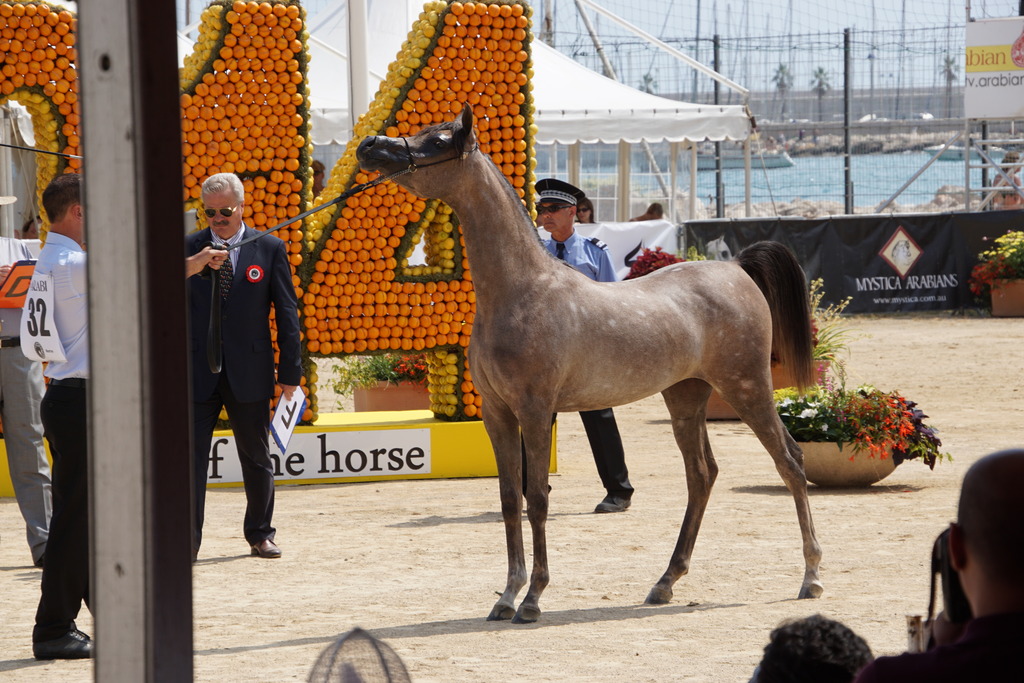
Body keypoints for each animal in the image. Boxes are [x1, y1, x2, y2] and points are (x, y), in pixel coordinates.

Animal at [357, 106, 823, 624]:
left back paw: (810, 577)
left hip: (747, 387)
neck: (522, 291)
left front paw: (533, 599)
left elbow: (537, 498)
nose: (369, 147)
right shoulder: (497, 415)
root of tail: (736, 267)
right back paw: (665, 582)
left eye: (437, 140)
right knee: (702, 475)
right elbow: (508, 499)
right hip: (686, 395)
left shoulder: (536, 411)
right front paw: (506, 595)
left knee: (790, 462)